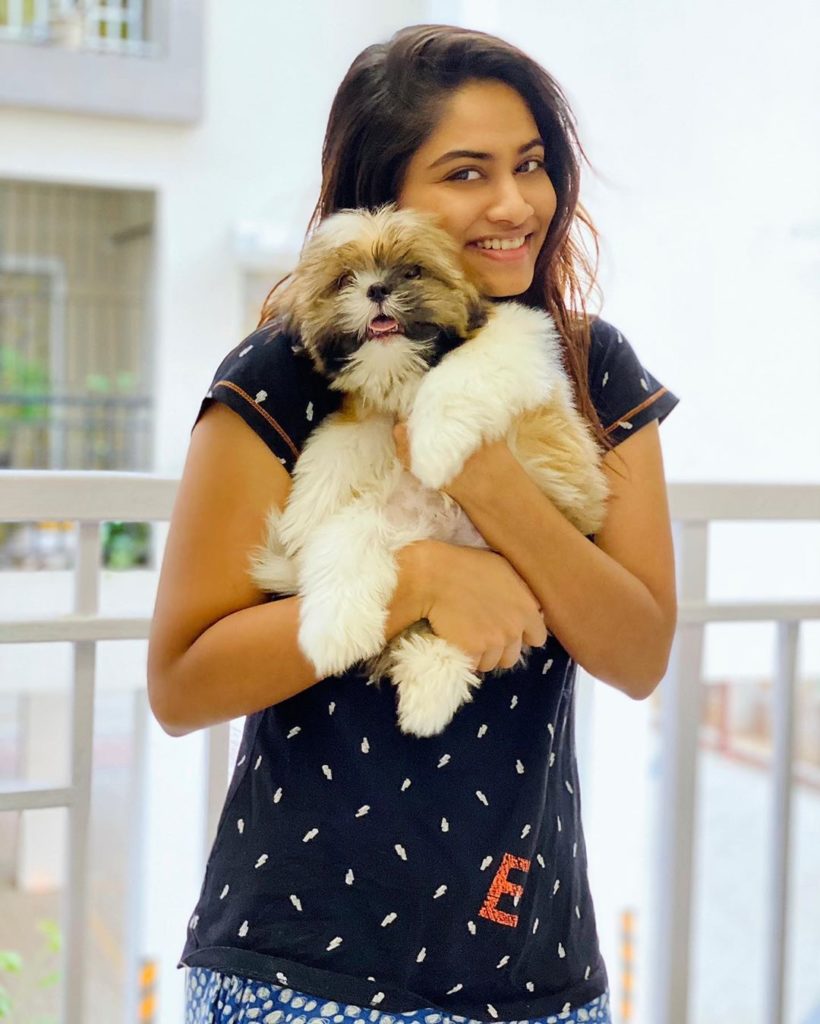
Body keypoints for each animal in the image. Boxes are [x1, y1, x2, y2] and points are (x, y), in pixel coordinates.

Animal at [249, 203, 606, 737]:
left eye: (413, 272)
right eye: (345, 280)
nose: (377, 289)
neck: (404, 378)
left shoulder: (514, 341)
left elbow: (462, 373)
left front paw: (435, 444)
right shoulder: (369, 415)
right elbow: (339, 441)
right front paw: (307, 506)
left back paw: (428, 688)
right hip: (376, 526)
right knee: (343, 549)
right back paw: (343, 636)